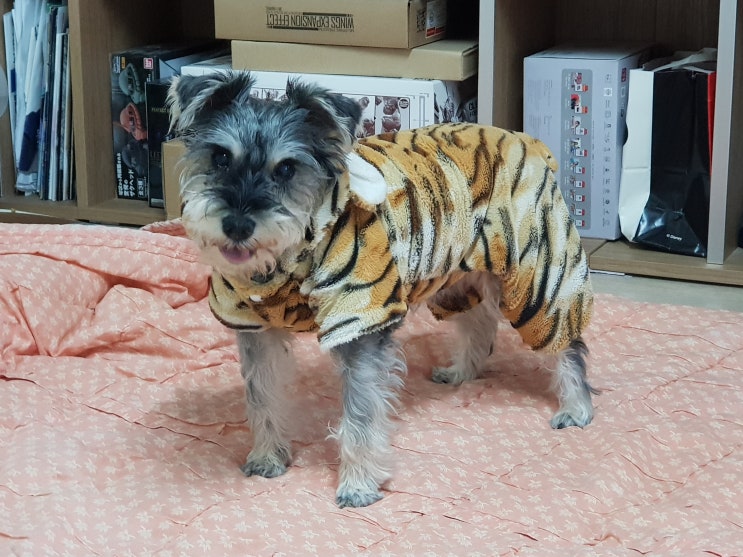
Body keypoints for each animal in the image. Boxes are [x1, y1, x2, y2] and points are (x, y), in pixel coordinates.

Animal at [167, 71, 597, 508]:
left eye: (286, 168)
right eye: (220, 157)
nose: (237, 225)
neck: (288, 260)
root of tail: (527, 141)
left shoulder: (360, 324)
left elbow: (360, 415)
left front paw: (357, 484)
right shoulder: (253, 328)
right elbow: (262, 395)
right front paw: (268, 457)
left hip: (539, 275)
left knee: (566, 343)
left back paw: (576, 407)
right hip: (454, 275)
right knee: (477, 323)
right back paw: (461, 371)